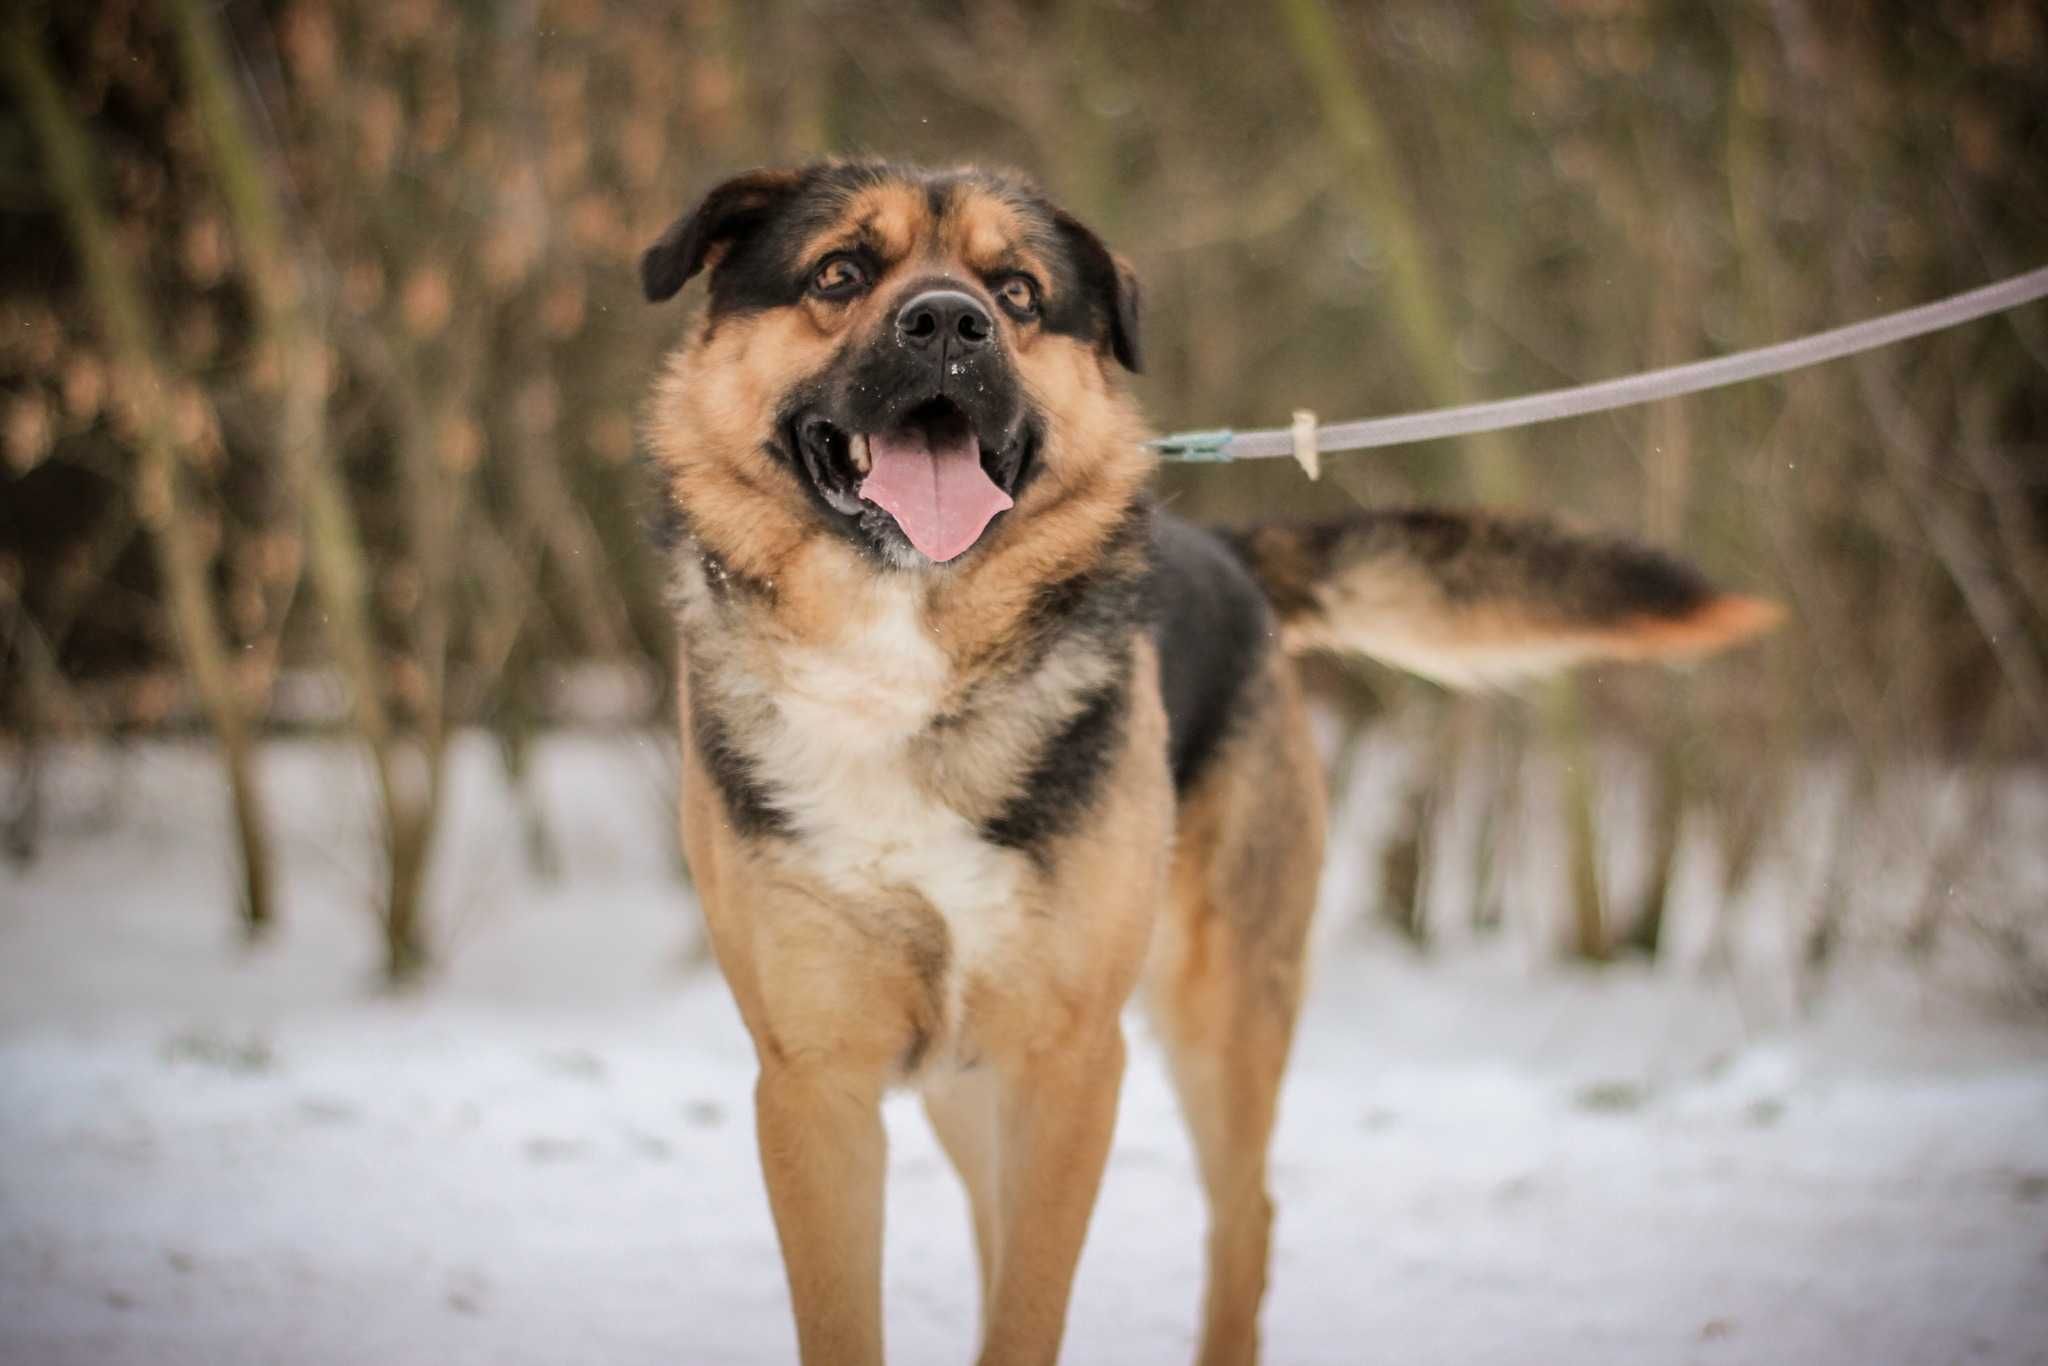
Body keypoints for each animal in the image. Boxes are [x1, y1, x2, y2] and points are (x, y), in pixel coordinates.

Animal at [638, 154, 1777, 1359]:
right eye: (839, 272)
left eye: (1018, 293)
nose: (950, 322)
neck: (907, 661)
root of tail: (1225, 551)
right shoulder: (814, 1087)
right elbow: (863, 1319)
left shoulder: (1071, 1063)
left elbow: (1029, 1311)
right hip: (974, 1077)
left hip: (1218, 1012)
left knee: (1247, 1216)